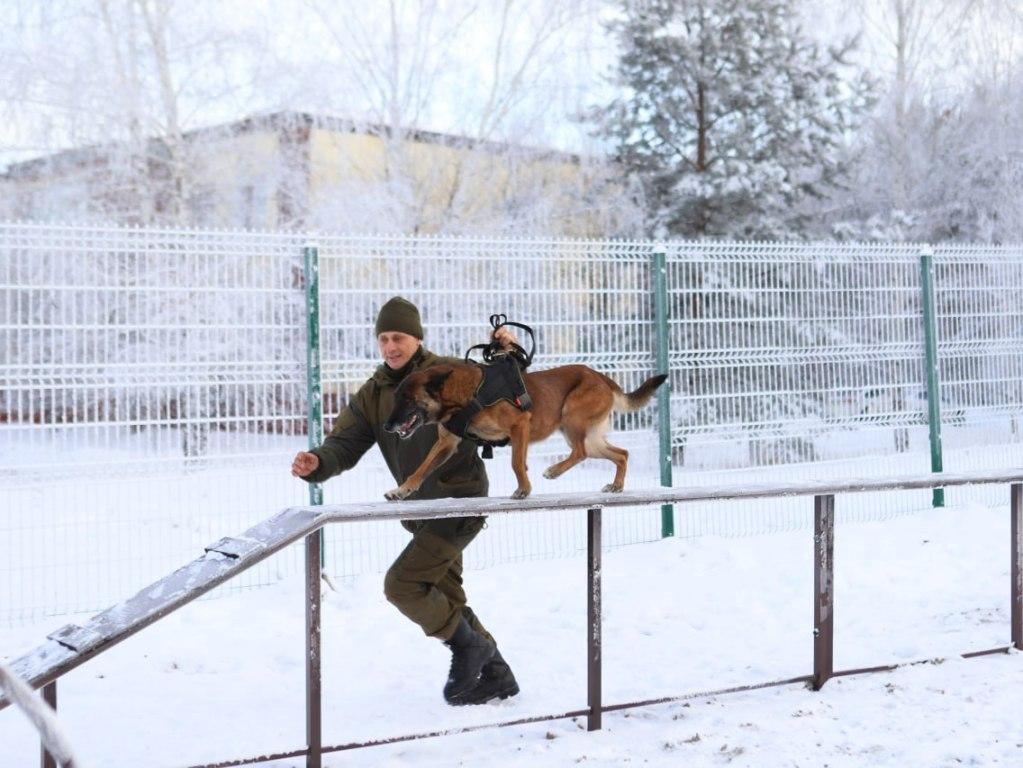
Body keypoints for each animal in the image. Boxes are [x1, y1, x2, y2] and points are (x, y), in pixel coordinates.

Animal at [380, 364, 666, 501]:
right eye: (396, 398)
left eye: (407, 399)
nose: (386, 427)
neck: (465, 394)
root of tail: (602, 377)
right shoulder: (446, 444)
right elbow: (421, 469)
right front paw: (401, 490)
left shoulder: (520, 426)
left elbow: (517, 463)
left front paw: (523, 489)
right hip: (589, 436)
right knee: (621, 454)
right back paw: (617, 485)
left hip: (572, 418)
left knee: (580, 452)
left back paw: (554, 471)